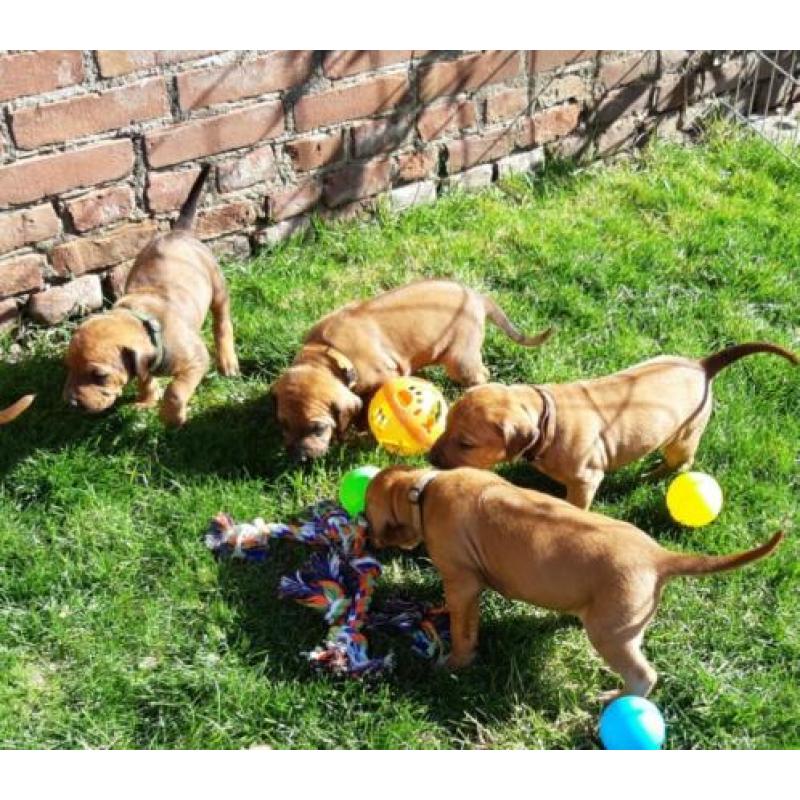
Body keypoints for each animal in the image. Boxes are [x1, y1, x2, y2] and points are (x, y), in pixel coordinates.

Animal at [63, 166, 238, 428]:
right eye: (68, 367)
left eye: (100, 376)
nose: (71, 404)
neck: (144, 321)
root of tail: (179, 232)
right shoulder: (141, 364)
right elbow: (144, 378)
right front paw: (146, 400)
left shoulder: (196, 360)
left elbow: (175, 390)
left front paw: (171, 416)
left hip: (217, 287)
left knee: (222, 322)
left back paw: (228, 360)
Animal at [270, 278, 552, 460]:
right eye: (283, 425)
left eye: (317, 429)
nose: (298, 460)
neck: (328, 351)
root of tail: (476, 296)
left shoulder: (383, 376)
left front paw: (358, 431)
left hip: (460, 359)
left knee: (481, 375)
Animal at [368, 468, 780, 700]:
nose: (366, 535)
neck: (422, 489)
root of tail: (658, 556)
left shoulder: (462, 584)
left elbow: (462, 629)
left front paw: (453, 662)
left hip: (612, 635)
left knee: (643, 676)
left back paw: (613, 699)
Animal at [432, 342, 800, 506]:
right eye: (444, 424)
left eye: (466, 444)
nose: (432, 459)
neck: (549, 419)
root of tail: (701, 366)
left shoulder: (586, 480)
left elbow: (576, 504)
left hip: (683, 437)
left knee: (682, 462)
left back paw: (651, 476)